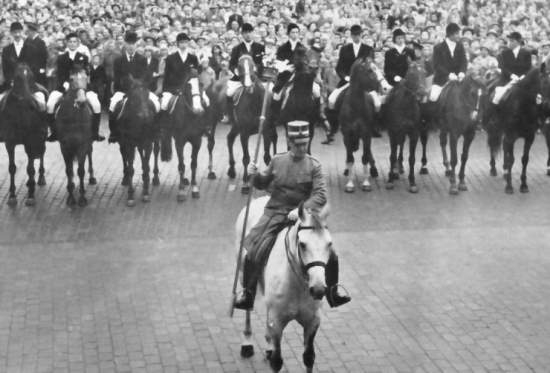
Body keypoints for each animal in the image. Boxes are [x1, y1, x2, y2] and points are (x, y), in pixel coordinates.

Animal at [0, 62, 47, 205]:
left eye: (31, 77)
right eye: (17, 78)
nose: (30, 102)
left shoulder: (30, 141)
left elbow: (30, 168)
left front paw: (31, 195)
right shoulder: (9, 142)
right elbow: (12, 168)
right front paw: (12, 195)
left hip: (40, 137)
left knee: (41, 153)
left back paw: (40, 177)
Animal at [117, 76, 156, 205]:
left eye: (147, 94)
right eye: (133, 96)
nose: (145, 116)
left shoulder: (148, 144)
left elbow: (146, 166)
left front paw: (146, 192)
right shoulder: (128, 144)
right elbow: (130, 169)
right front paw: (130, 195)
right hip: (125, 144)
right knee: (125, 157)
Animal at [162, 70, 211, 201]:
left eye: (201, 84)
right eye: (188, 86)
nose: (199, 110)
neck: (191, 117)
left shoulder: (197, 141)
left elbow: (193, 164)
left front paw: (195, 188)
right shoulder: (179, 142)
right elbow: (181, 165)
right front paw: (181, 191)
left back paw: (184, 180)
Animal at [236, 196, 334, 370]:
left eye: (329, 244)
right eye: (302, 244)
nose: (318, 289)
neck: (298, 284)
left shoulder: (313, 321)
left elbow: (309, 357)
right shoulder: (277, 322)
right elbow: (277, 361)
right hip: (242, 275)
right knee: (247, 305)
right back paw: (247, 343)